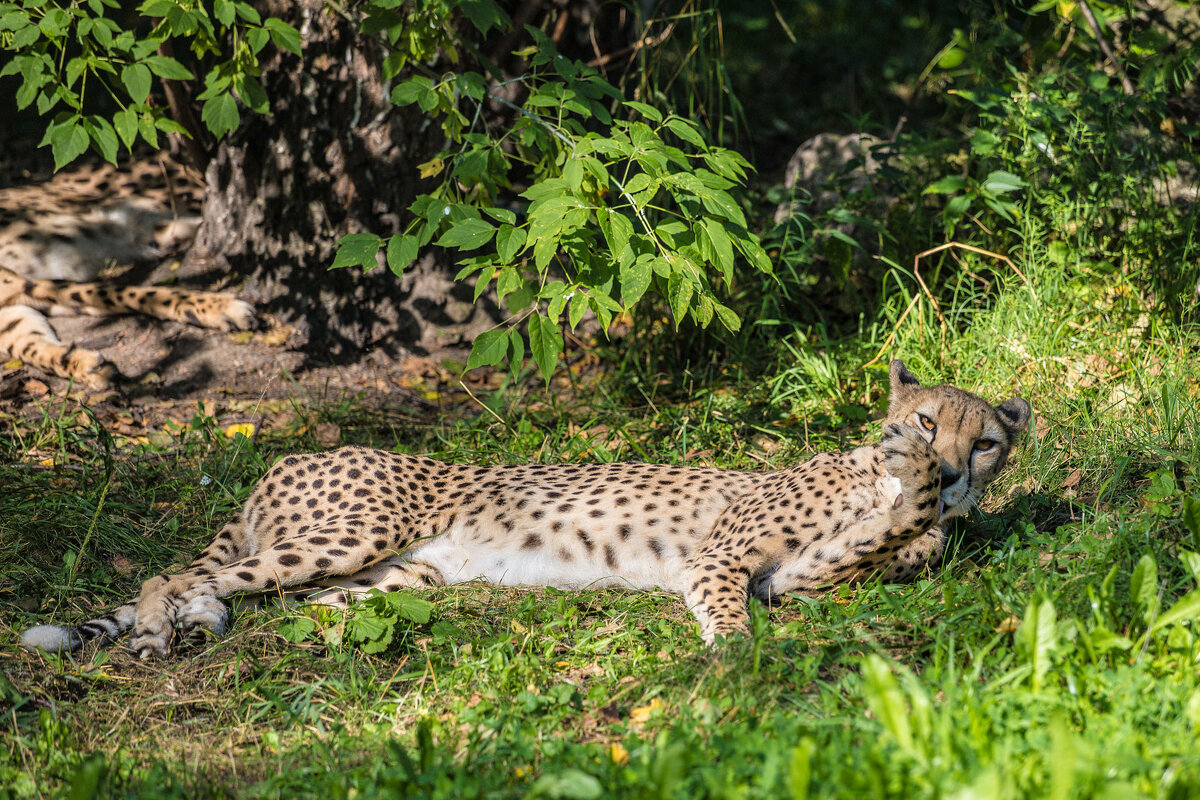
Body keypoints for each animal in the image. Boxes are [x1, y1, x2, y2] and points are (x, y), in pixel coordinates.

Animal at [0, 157, 253, 391]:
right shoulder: (14, 313)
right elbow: (28, 347)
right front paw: (83, 366)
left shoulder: (29, 284)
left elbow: (129, 294)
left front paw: (218, 306)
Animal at [21, 362, 1032, 657]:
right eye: (926, 419)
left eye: (985, 441)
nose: (952, 472)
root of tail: (300, 450)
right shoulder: (720, 561)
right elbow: (734, 611)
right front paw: (737, 661)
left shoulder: (801, 574)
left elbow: (885, 548)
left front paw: (920, 519)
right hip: (356, 530)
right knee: (170, 570)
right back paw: (161, 630)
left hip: (389, 578)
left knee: (253, 594)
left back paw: (197, 621)